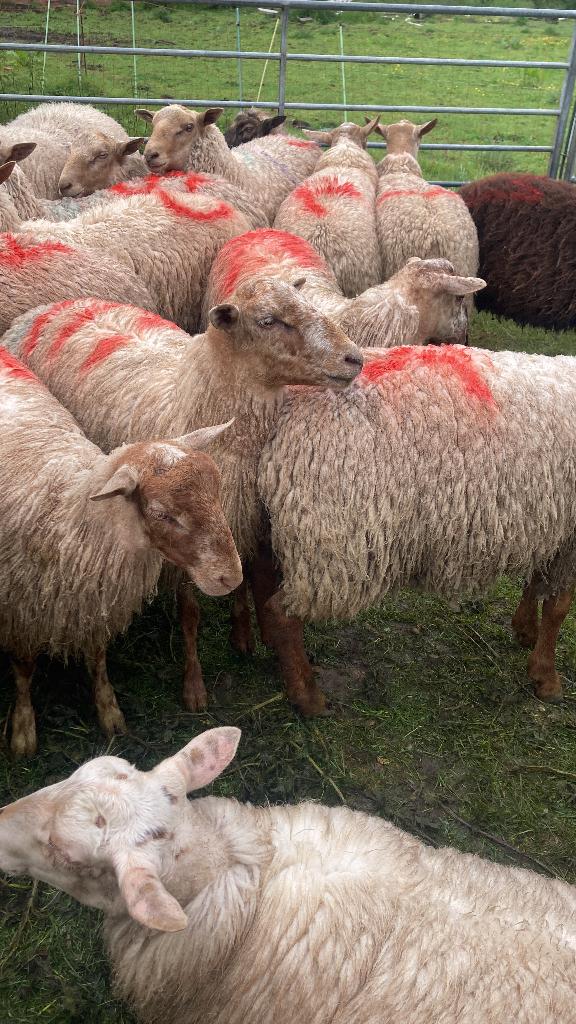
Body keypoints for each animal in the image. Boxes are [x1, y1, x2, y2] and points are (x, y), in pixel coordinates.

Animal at [0, 350, 241, 755]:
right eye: (162, 514)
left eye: (219, 493)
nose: (232, 577)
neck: (67, 515)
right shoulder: (20, 611)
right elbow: (22, 668)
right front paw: (22, 730)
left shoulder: (94, 604)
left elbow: (98, 657)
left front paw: (109, 711)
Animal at [4, 287, 361, 715]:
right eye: (268, 321)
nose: (354, 358)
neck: (193, 401)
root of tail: (51, 306)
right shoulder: (180, 549)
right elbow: (190, 614)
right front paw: (194, 686)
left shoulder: (233, 521)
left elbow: (239, 582)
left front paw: (242, 634)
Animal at [257, 343, 576, 710]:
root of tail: (289, 406)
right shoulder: (571, 537)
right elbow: (558, 607)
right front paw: (546, 677)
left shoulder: (554, 528)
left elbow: (537, 584)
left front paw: (525, 630)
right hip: (331, 543)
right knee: (282, 613)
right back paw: (308, 696)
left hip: (293, 531)